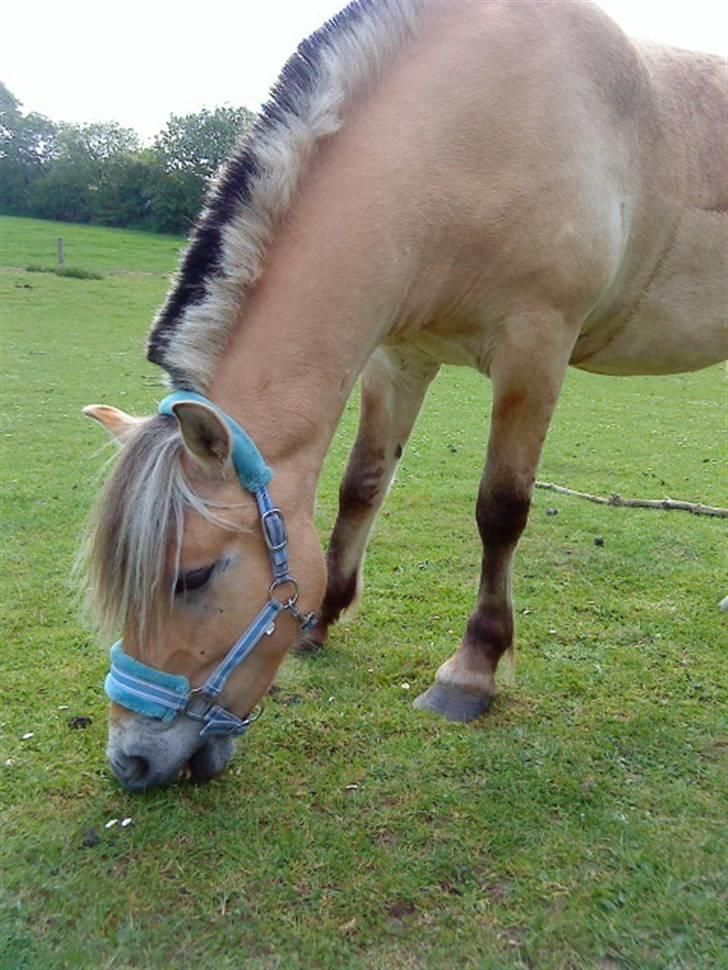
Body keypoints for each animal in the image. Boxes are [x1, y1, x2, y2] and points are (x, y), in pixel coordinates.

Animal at [77, 0, 724, 788]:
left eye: (193, 577)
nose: (133, 759)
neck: (471, 134)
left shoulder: (535, 349)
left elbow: (500, 511)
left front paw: (470, 672)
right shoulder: (398, 359)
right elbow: (361, 487)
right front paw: (322, 621)